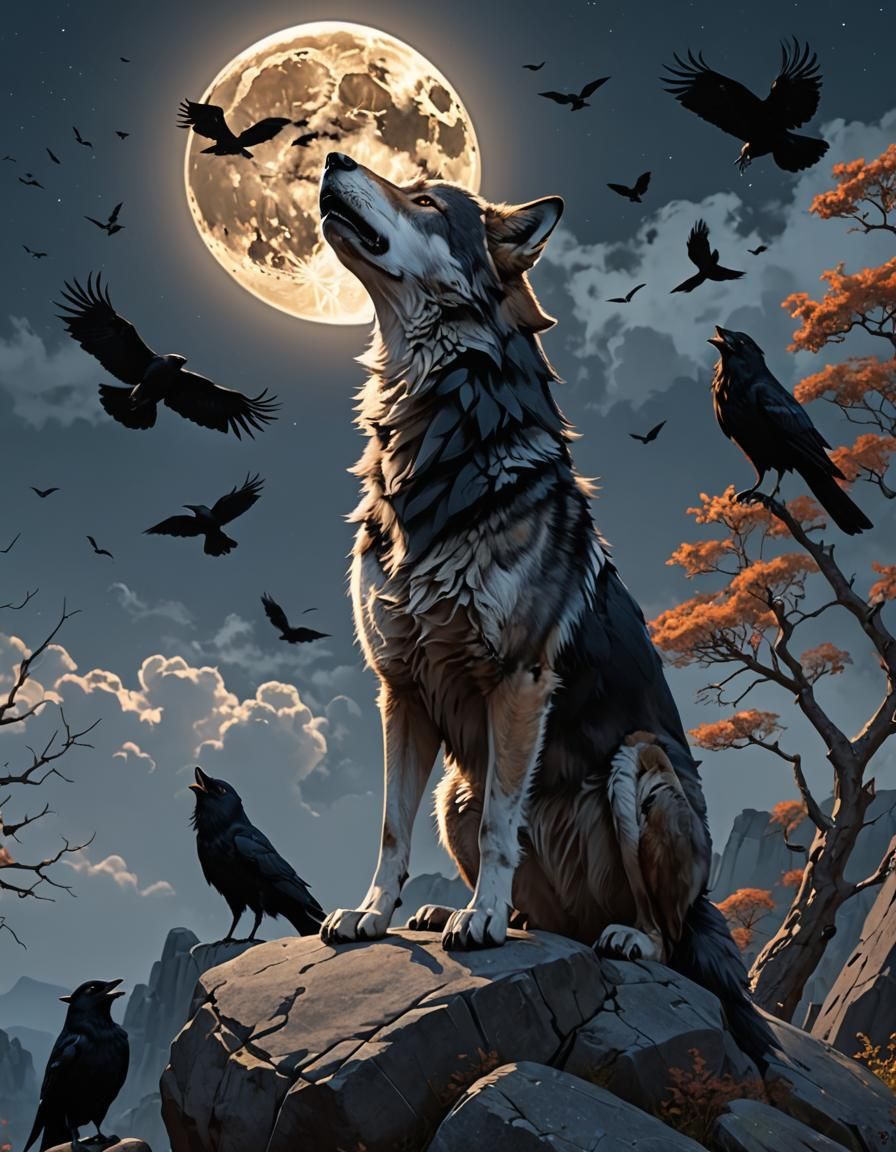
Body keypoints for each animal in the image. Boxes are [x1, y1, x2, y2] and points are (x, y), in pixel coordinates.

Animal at [317, 152, 772, 1062]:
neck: (439, 448)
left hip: (640, 765)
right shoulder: (399, 688)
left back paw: (606, 933)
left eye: (425, 198)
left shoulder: (518, 681)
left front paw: (482, 920)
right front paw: (375, 914)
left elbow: (504, 826)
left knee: (665, 931)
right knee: (548, 906)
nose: (332, 157)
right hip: (457, 788)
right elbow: (389, 827)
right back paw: (466, 911)